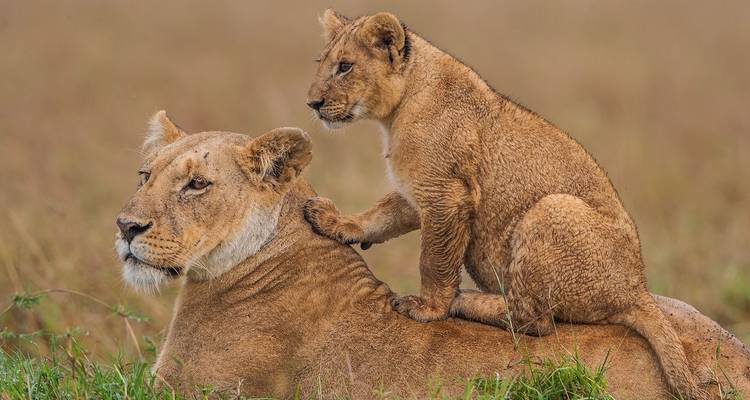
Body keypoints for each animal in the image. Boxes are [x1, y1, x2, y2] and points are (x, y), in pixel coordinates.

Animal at [303, 10, 716, 399]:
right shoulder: (416, 191)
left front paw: (428, 308)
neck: (398, 110)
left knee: (535, 320)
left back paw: (467, 300)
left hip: (551, 210)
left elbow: (434, 261)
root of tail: (637, 288)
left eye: (345, 66)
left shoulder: (446, 194)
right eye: (321, 62)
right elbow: (380, 215)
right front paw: (334, 221)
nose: (313, 103)